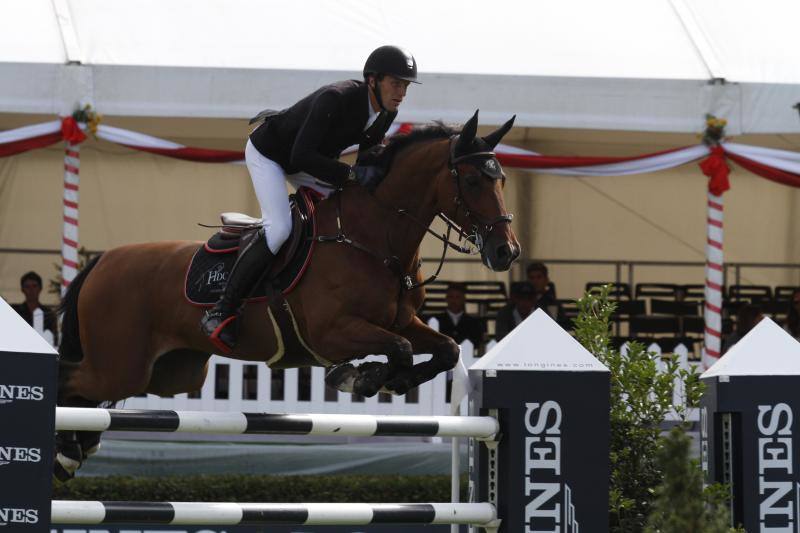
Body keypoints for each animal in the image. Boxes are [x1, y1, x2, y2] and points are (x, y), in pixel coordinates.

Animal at [54, 111, 520, 478]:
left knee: (89, 394)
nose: (507, 252)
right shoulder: (332, 332)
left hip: (170, 372)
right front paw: (361, 376)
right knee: (71, 380)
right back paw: (66, 451)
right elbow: (400, 349)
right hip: (120, 365)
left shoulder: (400, 321)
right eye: (473, 180)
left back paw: (79, 446)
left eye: (502, 180)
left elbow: (444, 349)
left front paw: (388, 379)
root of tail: (103, 261)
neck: (373, 238)